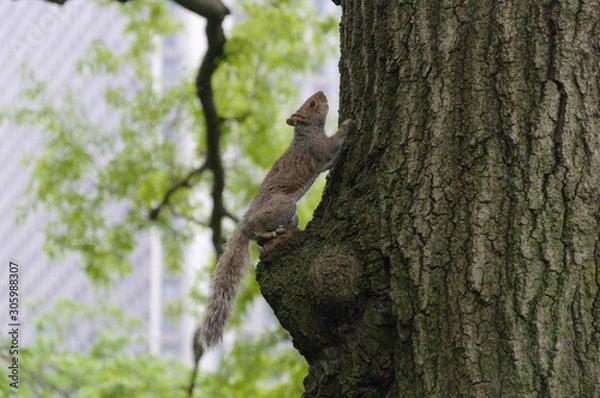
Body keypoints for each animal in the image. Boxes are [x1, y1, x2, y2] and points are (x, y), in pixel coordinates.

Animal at [199, 91, 354, 350]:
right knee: (255, 228)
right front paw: (347, 125)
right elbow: (330, 147)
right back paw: (268, 233)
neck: (306, 132)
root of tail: (244, 221)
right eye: (312, 104)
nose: (322, 93)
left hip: (291, 213)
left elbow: (330, 162)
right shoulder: (317, 147)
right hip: (283, 205)